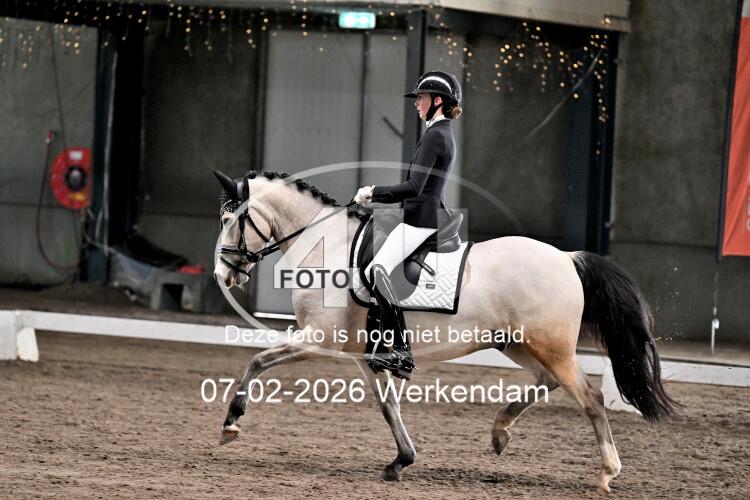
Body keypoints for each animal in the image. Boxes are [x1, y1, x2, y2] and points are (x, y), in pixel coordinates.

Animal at [212, 169, 677, 494]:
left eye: (232, 220)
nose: (223, 274)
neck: (328, 246)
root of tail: (567, 257)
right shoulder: (366, 355)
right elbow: (389, 407)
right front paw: (401, 460)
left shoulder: (318, 339)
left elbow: (257, 361)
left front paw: (231, 422)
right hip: (516, 343)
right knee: (547, 382)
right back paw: (500, 431)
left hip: (550, 346)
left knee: (590, 398)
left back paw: (606, 473)